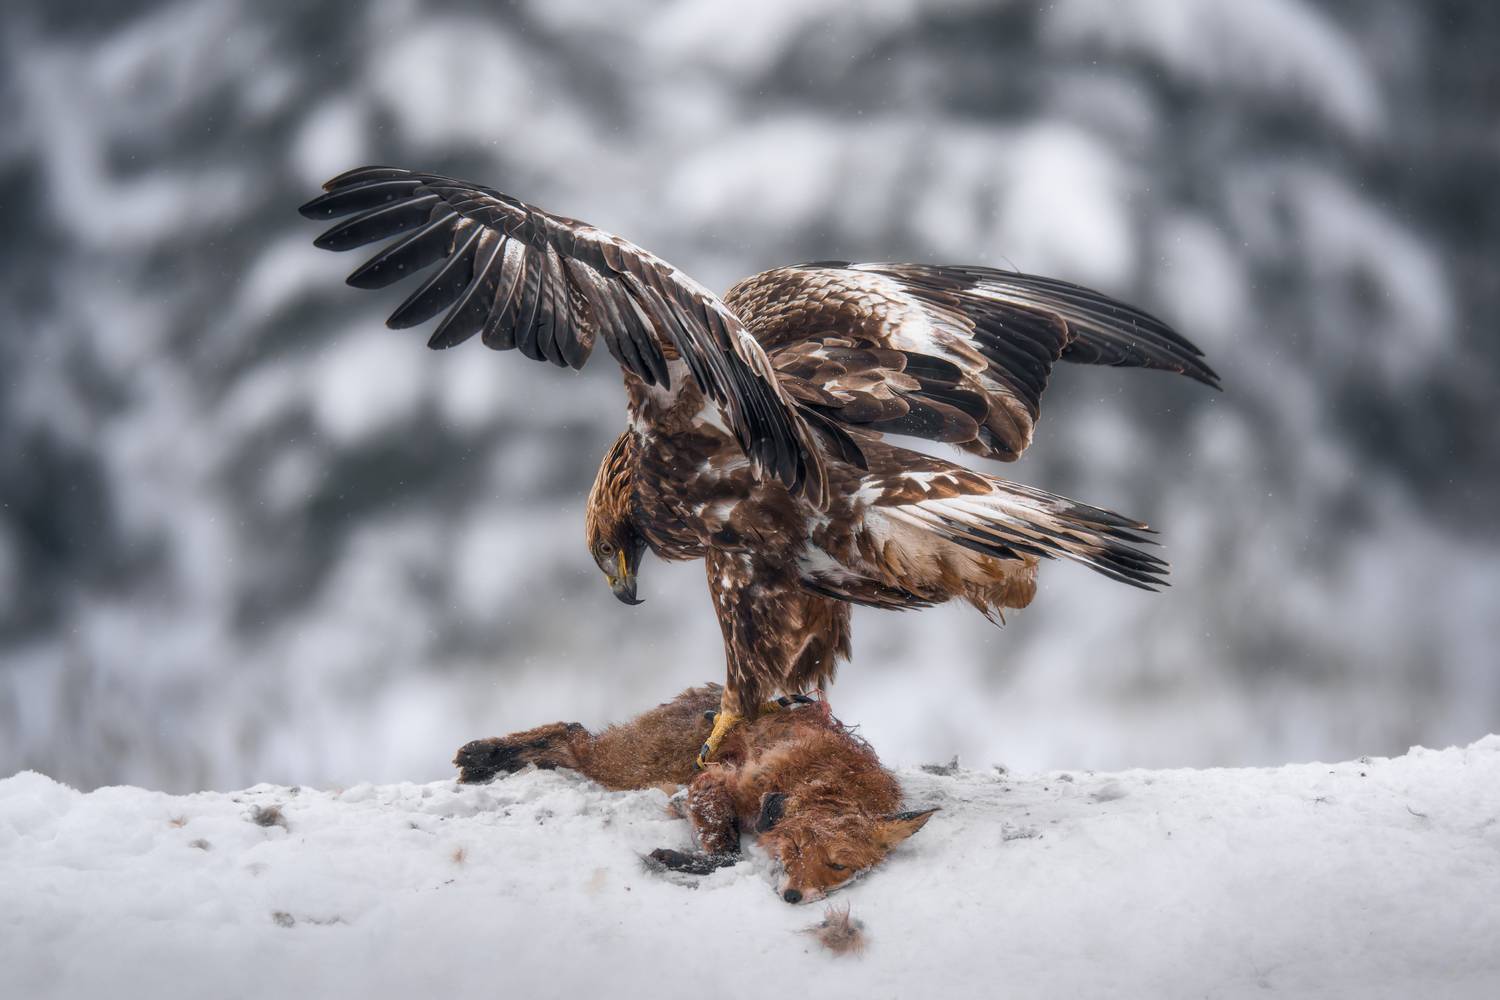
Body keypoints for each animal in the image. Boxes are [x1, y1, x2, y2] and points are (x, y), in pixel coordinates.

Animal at [453, 684, 937, 903]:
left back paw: (486, 760)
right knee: (571, 734)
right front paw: (680, 859)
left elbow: (728, 854)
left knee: (565, 742)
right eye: (796, 849)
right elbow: (729, 854)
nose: (793, 897)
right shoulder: (716, 782)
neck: (823, 780)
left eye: (838, 865)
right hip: (626, 765)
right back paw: (481, 755)